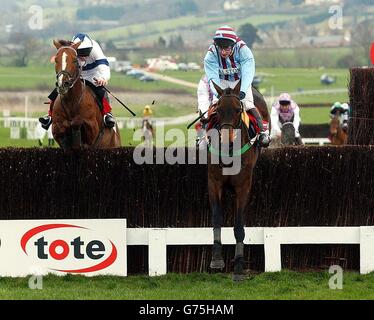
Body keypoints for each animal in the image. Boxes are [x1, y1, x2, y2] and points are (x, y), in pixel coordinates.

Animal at [206, 81, 270, 282]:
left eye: (237, 110)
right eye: (217, 110)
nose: (226, 140)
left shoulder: (243, 186)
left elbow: (239, 225)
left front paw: (239, 267)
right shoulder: (214, 182)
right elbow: (216, 218)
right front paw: (216, 259)